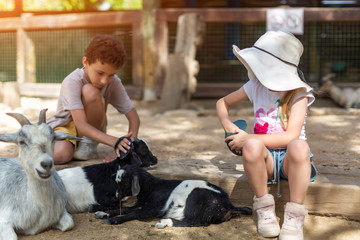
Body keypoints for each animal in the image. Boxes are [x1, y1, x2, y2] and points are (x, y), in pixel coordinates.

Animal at [0, 109, 81, 240]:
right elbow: (12, 237)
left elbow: (69, 224)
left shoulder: (60, 210)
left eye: (53, 138)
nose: (46, 164)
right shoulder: (3, 220)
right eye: (21, 142)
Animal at [95, 165, 253, 229]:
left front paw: (112, 220)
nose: (117, 195)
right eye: (117, 182)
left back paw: (165, 222)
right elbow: (127, 209)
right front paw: (103, 212)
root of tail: (230, 206)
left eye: (126, 182)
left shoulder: (153, 208)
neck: (152, 188)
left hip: (196, 198)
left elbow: (132, 214)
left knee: (194, 222)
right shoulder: (141, 204)